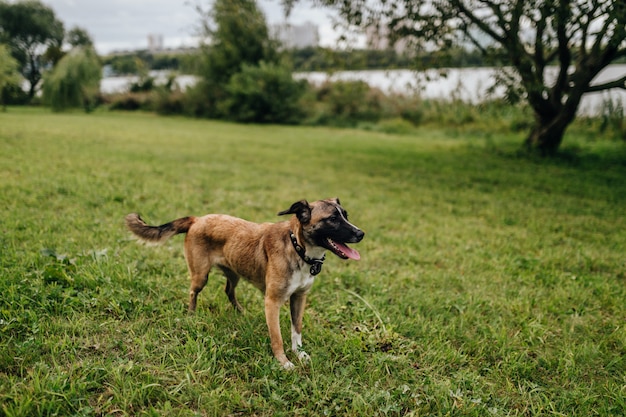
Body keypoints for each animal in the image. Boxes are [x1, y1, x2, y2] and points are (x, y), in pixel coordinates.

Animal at [124, 198, 364, 368]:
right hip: (201, 275)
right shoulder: (272, 302)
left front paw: (299, 353)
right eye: (332, 219)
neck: (298, 247)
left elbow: (296, 330)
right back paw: (191, 315)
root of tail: (197, 219)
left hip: (234, 272)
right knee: (193, 292)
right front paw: (284, 362)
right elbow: (277, 338)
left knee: (228, 290)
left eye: (345, 215)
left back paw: (240, 312)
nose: (361, 233)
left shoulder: (299, 297)